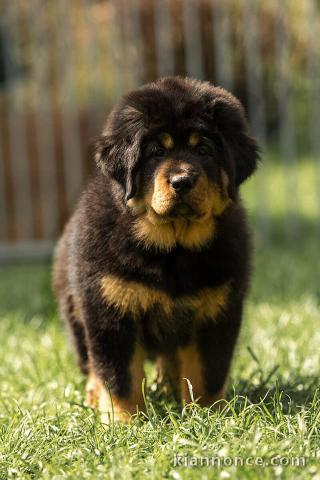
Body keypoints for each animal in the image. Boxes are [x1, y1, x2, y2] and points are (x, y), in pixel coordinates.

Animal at [53, 77, 260, 422]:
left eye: (203, 150)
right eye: (156, 152)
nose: (182, 181)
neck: (172, 249)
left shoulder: (216, 311)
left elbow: (206, 373)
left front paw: (207, 417)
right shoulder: (110, 310)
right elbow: (119, 376)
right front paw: (124, 422)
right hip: (76, 315)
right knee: (92, 363)